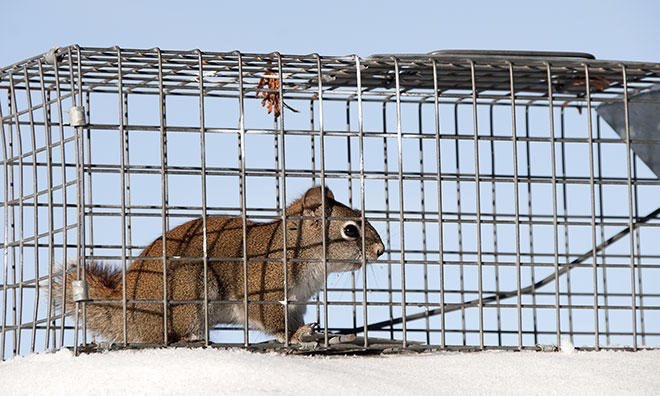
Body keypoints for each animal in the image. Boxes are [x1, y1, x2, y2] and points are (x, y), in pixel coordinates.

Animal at [54, 187, 384, 344]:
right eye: (350, 230)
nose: (380, 251)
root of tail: (126, 308)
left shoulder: (296, 302)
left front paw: (311, 331)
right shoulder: (264, 289)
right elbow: (272, 321)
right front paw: (294, 335)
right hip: (189, 289)